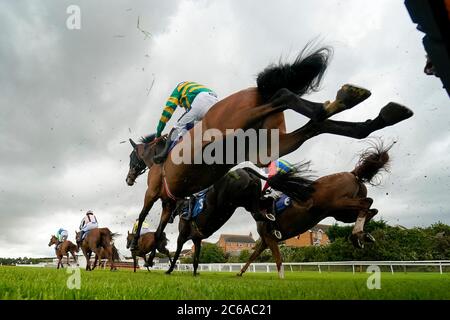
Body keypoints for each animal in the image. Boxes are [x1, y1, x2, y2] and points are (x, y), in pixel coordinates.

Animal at [128, 44, 414, 252]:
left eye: (132, 158)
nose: (129, 179)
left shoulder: (156, 193)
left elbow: (144, 215)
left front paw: (138, 246)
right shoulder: (169, 201)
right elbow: (160, 225)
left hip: (235, 126)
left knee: (283, 96)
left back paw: (341, 102)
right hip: (266, 148)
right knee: (316, 125)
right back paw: (368, 111)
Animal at [237, 142, 392, 278]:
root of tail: (352, 173)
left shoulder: (270, 238)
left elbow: (278, 259)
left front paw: (281, 278)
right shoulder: (265, 240)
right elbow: (252, 256)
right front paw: (240, 273)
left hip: (338, 203)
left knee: (367, 202)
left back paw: (357, 234)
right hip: (342, 214)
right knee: (371, 210)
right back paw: (362, 236)